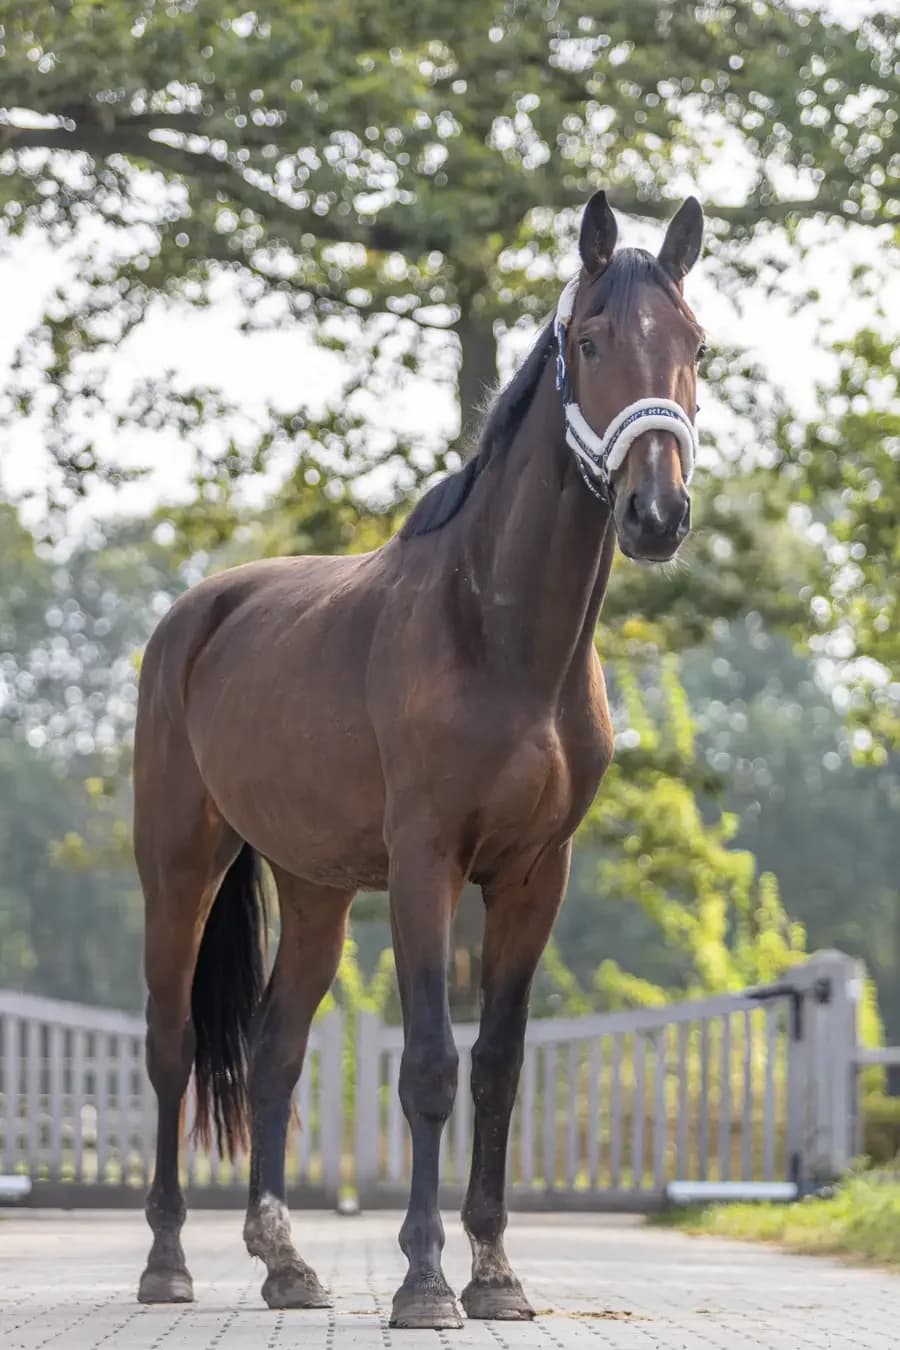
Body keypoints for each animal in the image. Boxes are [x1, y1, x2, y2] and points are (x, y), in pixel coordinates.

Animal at [133, 188, 705, 1328]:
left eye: (696, 346)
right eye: (590, 340)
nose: (656, 513)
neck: (502, 637)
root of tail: (195, 618)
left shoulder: (533, 877)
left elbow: (498, 1067)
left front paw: (497, 1276)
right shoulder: (426, 866)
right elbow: (434, 1065)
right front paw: (427, 1282)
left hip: (312, 887)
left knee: (273, 1049)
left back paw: (287, 1266)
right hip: (179, 869)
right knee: (172, 1048)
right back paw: (168, 1262)